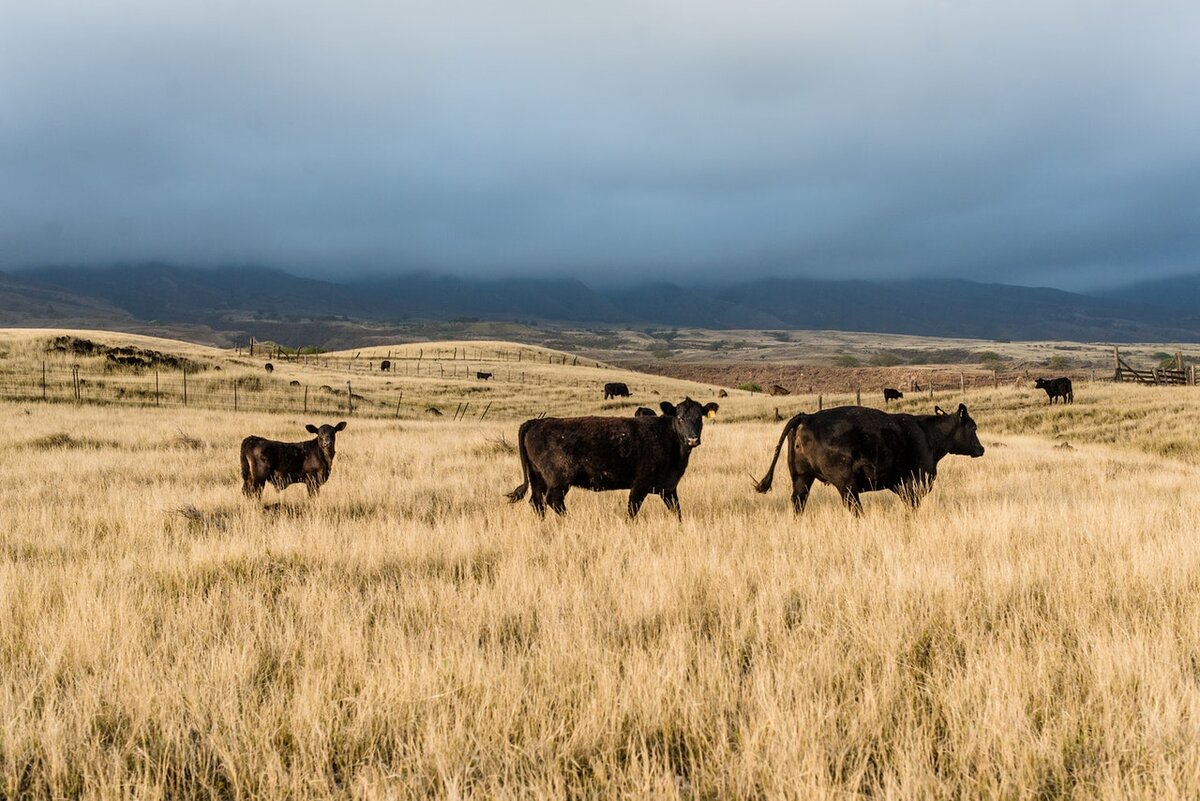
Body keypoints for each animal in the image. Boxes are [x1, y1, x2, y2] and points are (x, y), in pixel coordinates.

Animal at [508, 398, 720, 520]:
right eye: (680, 418)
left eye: (699, 418)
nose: (693, 439)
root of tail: (536, 422)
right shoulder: (640, 485)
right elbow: (632, 511)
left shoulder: (668, 487)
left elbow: (677, 512)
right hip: (559, 479)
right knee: (553, 501)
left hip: (538, 477)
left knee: (537, 503)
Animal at [753, 402, 988, 515]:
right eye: (973, 428)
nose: (981, 449)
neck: (929, 434)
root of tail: (807, 416)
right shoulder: (914, 484)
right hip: (845, 483)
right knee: (854, 507)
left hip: (801, 477)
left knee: (798, 503)